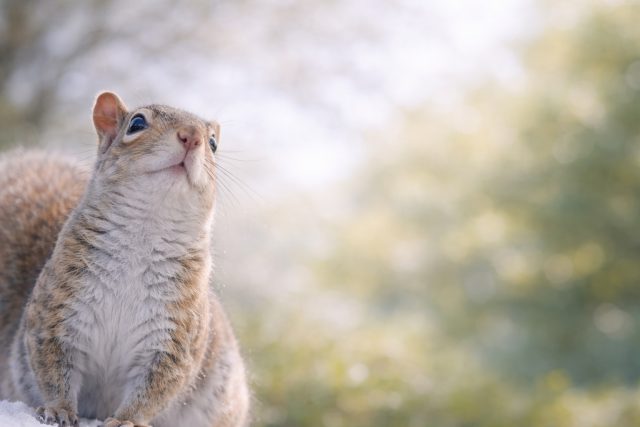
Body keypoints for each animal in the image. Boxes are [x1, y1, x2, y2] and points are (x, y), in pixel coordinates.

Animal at [0, 92, 249, 427]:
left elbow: (156, 388)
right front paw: (58, 409)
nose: (192, 137)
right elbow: (52, 367)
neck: (146, 231)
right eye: (137, 123)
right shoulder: (55, 312)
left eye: (213, 144)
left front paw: (126, 420)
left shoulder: (175, 338)